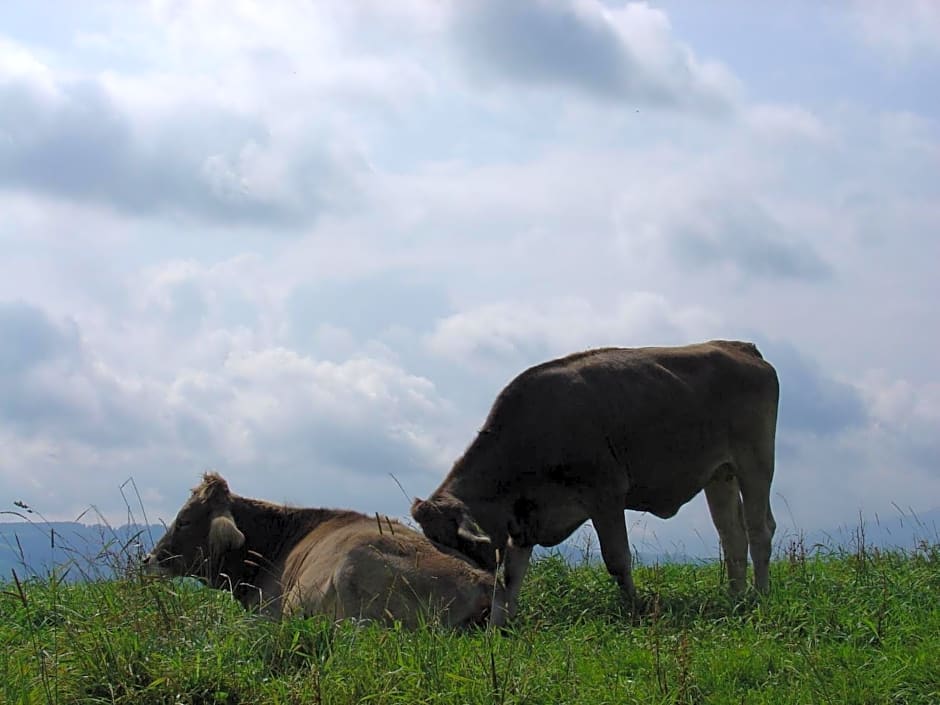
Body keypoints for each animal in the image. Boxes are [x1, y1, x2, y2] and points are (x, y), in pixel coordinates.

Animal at [412, 340, 780, 620]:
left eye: (456, 544)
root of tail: (739, 346)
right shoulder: (525, 519)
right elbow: (512, 576)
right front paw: (502, 624)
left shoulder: (606, 495)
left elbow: (617, 559)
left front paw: (634, 609)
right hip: (720, 475)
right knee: (732, 537)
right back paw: (734, 599)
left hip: (756, 461)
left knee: (759, 530)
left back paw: (760, 596)